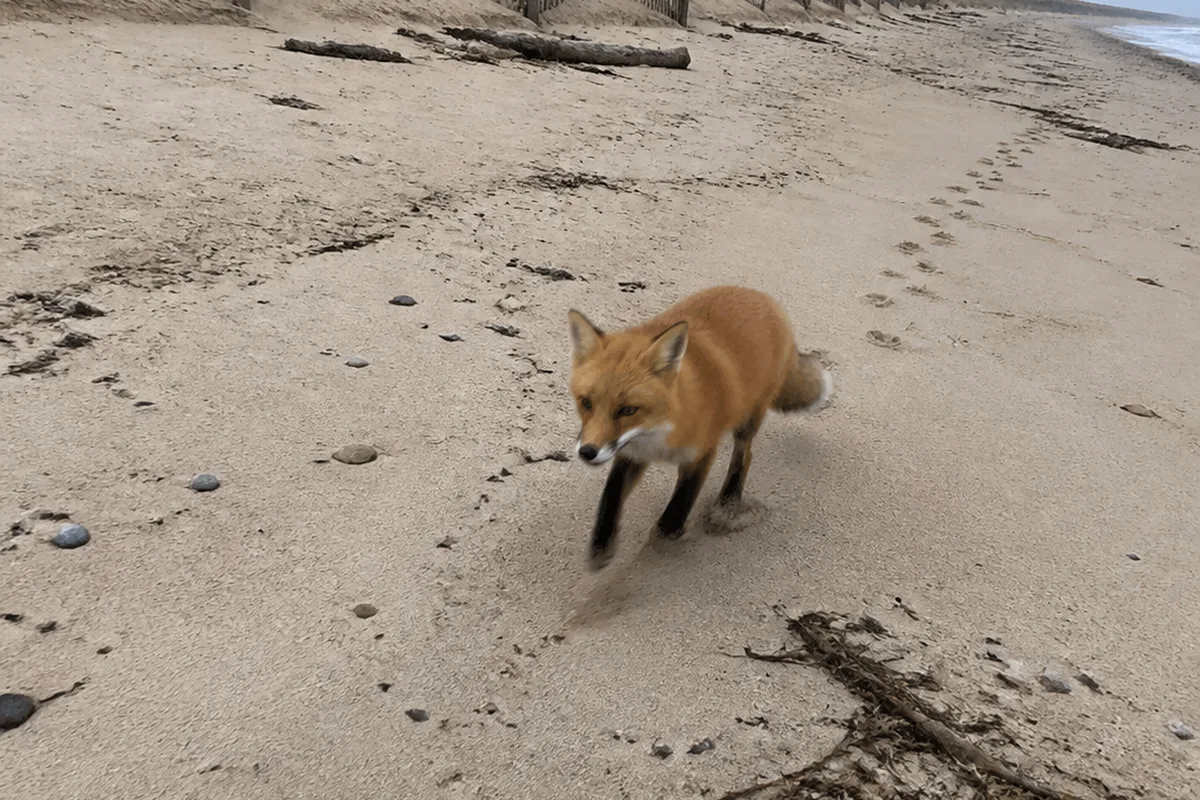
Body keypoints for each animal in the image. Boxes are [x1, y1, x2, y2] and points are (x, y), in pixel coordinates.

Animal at [566, 285, 832, 571]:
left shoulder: (701, 455)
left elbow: (677, 509)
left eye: (627, 410)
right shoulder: (631, 454)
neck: (658, 435)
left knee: (744, 455)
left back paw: (728, 501)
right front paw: (602, 543)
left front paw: (661, 546)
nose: (587, 452)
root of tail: (759, 295)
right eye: (586, 402)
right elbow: (610, 495)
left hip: (748, 419)